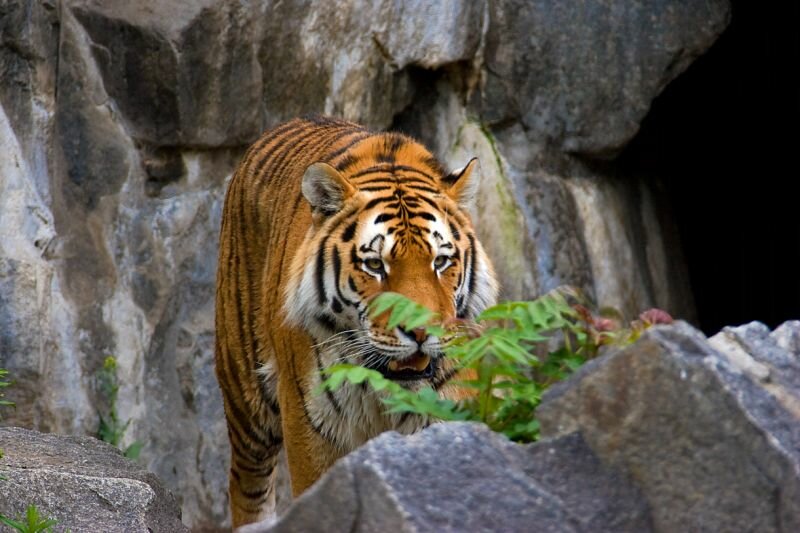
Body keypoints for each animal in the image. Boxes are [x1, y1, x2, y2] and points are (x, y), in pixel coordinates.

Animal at [216, 114, 496, 524]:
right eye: (375, 265)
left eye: (441, 261)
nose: (420, 333)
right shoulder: (311, 425)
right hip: (245, 394)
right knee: (246, 485)